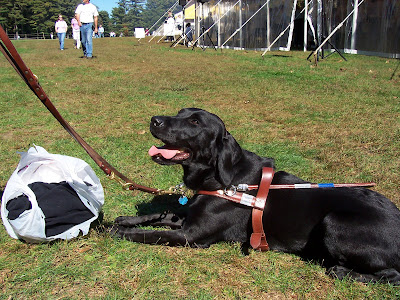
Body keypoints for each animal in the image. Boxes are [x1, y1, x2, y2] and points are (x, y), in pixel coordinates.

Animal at [112, 107, 400, 284]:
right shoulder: (189, 219)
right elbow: (161, 215)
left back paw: (344, 272)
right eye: (179, 112)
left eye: (195, 122)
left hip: (335, 222)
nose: (154, 119)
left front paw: (122, 232)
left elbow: (152, 234)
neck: (222, 178)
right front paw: (124, 220)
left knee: (393, 275)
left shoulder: (192, 236)